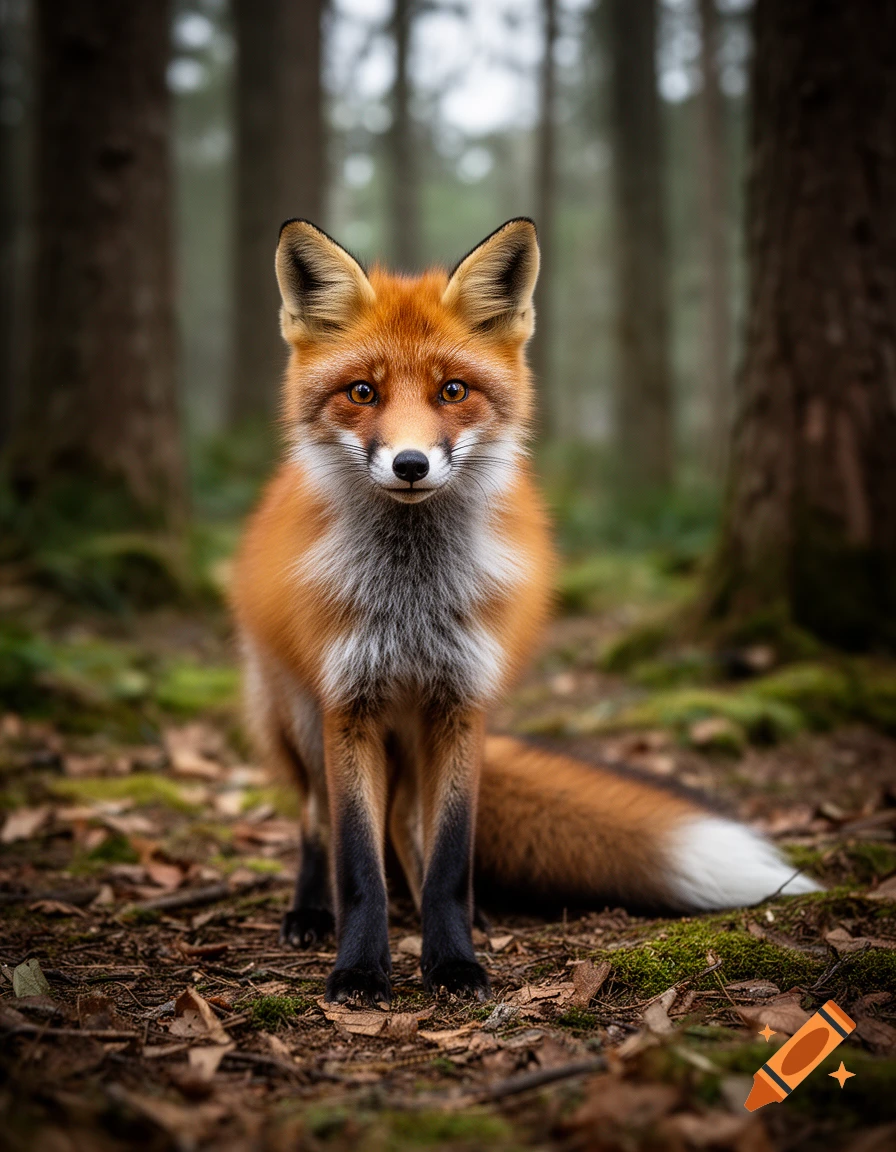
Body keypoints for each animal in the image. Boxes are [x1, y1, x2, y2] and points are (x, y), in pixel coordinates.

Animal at [230, 217, 819, 1006]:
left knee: (408, 830)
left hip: (411, 737)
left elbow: (449, 858)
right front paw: (359, 970)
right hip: (297, 716)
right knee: (316, 820)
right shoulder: (348, 706)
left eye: (453, 390)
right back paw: (308, 913)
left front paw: (453, 961)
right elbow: (356, 865)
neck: (410, 601)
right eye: (362, 391)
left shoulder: (460, 704)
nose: (411, 464)